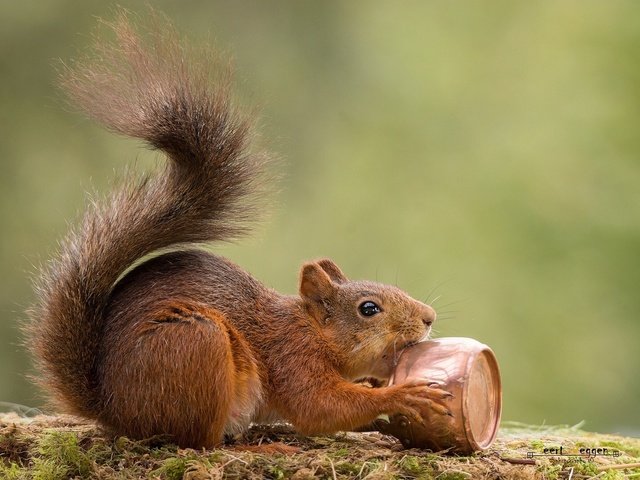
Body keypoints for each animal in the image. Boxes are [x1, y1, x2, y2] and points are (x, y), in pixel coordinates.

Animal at [26, 11, 450, 448]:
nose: (429, 316)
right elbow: (320, 408)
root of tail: (111, 408)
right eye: (369, 309)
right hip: (197, 343)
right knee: (196, 439)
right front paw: (401, 395)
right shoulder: (291, 357)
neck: (312, 331)